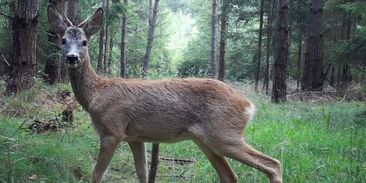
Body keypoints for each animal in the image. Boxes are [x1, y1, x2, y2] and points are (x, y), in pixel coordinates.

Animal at [47, 5, 284, 182]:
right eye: (63, 40)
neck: (96, 93)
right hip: (207, 140)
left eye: (84, 42)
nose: (72, 57)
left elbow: (97, 175)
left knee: (273, 164)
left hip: (224, 135)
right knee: (230, 176)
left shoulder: (112, 130)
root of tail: (248, 104)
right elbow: (142, 173)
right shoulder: (135, 137)